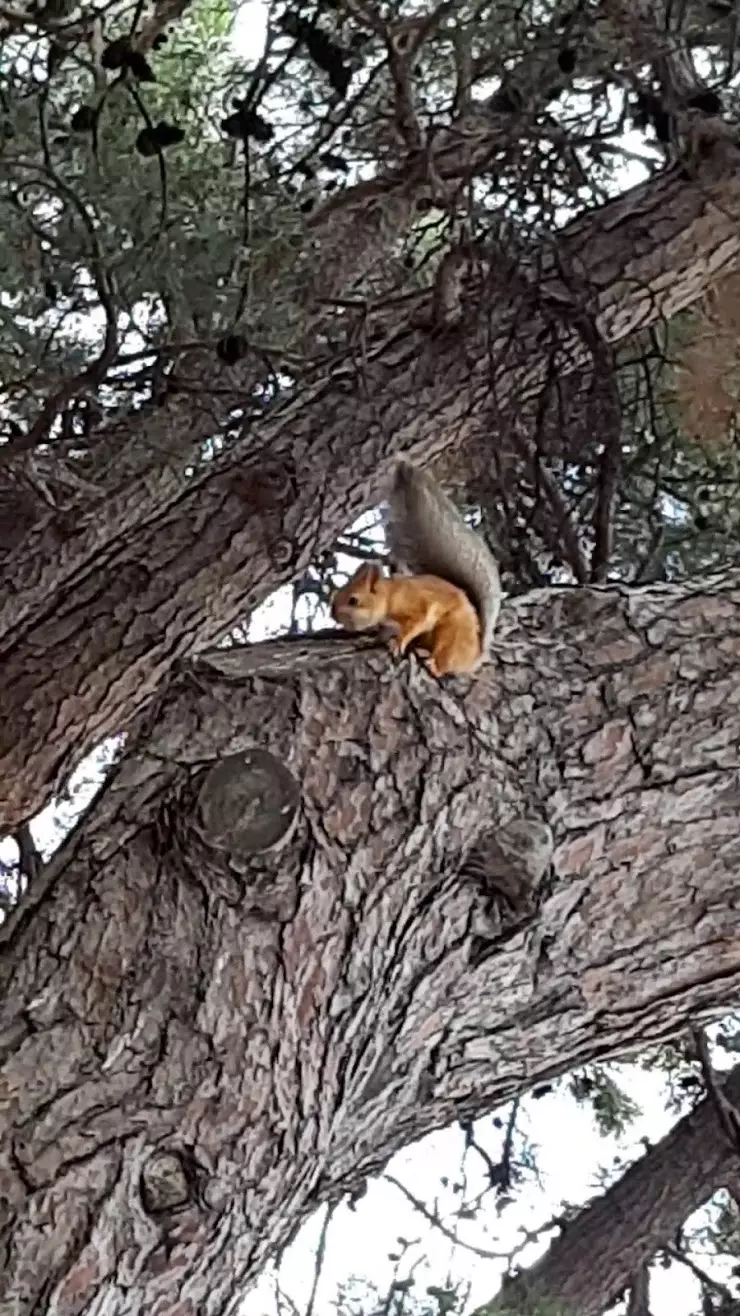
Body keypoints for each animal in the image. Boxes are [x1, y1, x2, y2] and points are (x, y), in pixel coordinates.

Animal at [329, 457, 497, 679]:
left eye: (353, 600)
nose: (333, 614)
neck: (390, 595)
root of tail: (475, 656)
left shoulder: (417, 605)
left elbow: (417, 622)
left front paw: (398, 642)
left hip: (451, 635)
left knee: (446, 660)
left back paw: (434, 664)